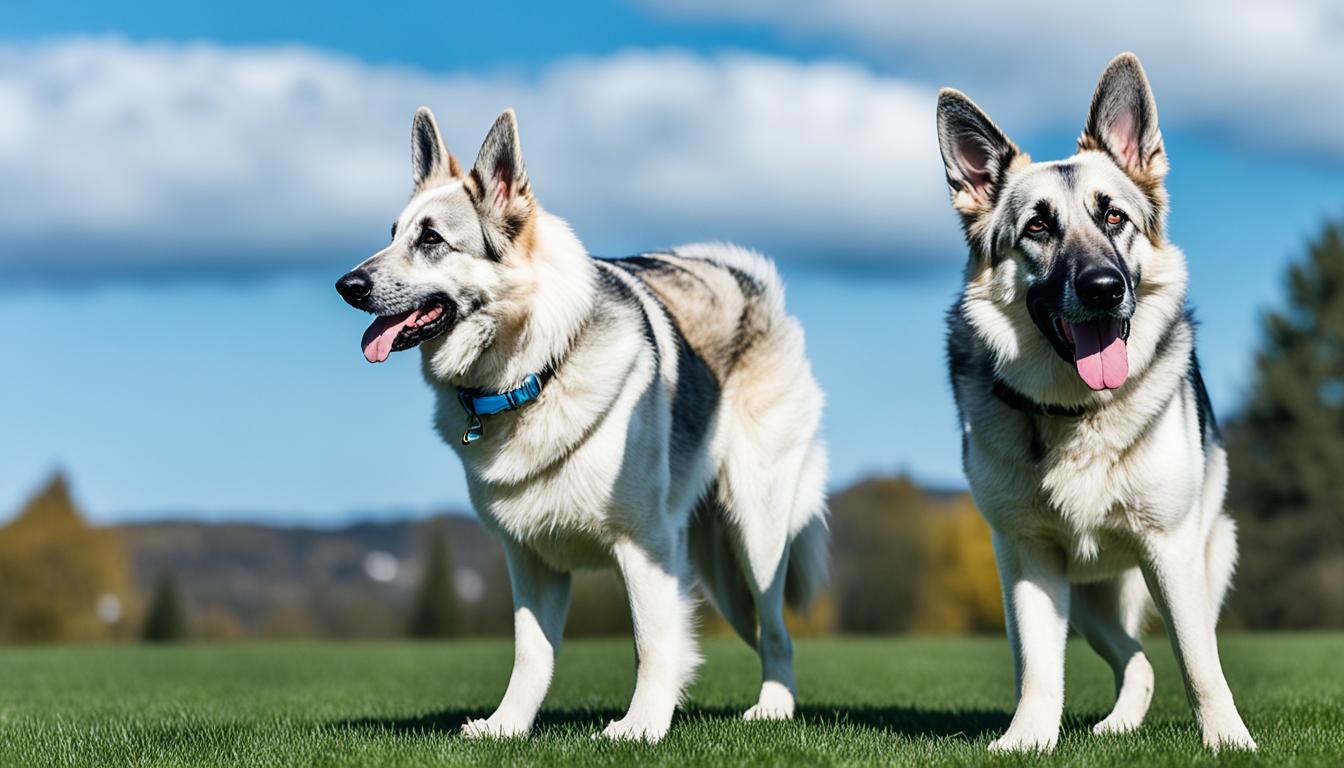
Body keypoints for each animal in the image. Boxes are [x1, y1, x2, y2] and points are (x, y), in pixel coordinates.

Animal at [333, 108, 827, 747]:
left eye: (431, 239)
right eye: (392, 233)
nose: (347, 285)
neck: (532, 372)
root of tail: (753, 284)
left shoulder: (645, 548)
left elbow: (653, 644)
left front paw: (641, 728)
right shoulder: (529, 560)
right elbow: (531, 655)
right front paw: (507, 727)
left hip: (757, 533)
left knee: (778, 632)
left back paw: (773, 710)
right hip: (720, 569)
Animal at [940, 55, 1252, 758]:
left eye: (1114, 219)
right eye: (1037, 227)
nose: (1104, 289)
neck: (1078, 412)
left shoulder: (1169, 549)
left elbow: (1201, 661)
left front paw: (1228, 741)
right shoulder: (1029, 557)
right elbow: (1038, 668)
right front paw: (1027, 741)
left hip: (1189, 558)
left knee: (1164, 654)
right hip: (1079, 599)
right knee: (1135, 662)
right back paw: (1114, 725)